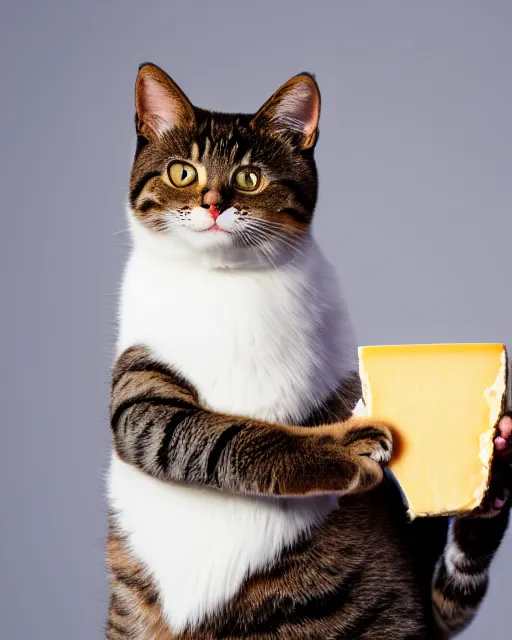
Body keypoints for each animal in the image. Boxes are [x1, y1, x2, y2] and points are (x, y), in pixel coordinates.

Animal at [106, 61, 510, 640]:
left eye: (249, 178)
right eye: (183, 173)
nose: (213, 205)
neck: (225, 284)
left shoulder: (348, 379)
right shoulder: (139, 395)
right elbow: (224, 436)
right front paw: (342, 449)